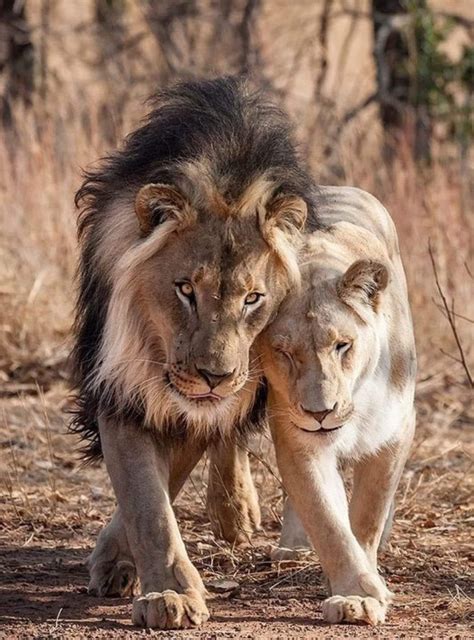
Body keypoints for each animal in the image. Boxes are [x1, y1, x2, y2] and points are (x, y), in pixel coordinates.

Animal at [72, 76, 316, 632]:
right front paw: (169, 593)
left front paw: (123, 562)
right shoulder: (120, 384)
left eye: (253, 298)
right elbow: (147, 500)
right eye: (185, 289)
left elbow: (175, 470)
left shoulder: (206, 398)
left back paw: (234, 512)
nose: (214, 376)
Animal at [260, 185, 414, 624]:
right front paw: (356, 595)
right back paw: (292, 548)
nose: (320, 413)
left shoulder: (395, 431)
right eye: (284, 353)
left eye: (342, 345)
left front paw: (368, 583)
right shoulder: (296, 438)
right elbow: (326, 519)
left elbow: (366, 515)